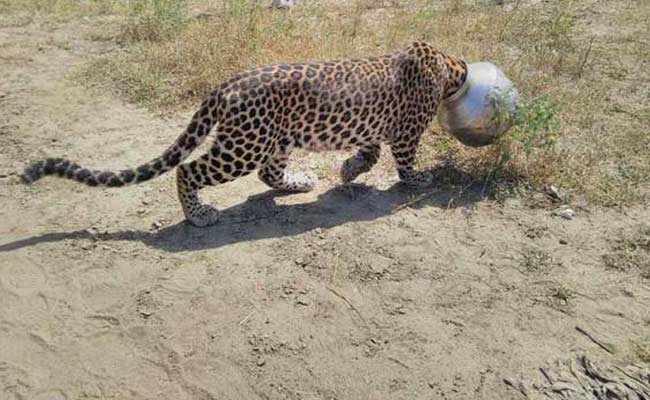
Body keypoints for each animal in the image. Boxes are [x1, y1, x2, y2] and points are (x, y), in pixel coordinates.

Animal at [21, 41, 468, 227]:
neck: (447, 64)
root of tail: (224, 86)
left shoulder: (376, 125)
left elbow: (370, 151)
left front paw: (348, 169)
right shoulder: (406, 132)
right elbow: (404, 161)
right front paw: (419, 177)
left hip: (275, 139)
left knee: (268, 174)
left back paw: (301, 182)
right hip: (243, 146)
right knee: (187, 170)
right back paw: (199, 215)